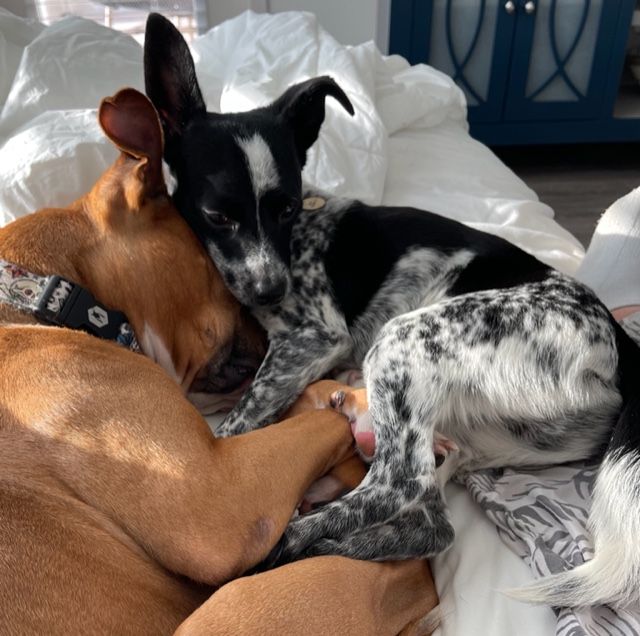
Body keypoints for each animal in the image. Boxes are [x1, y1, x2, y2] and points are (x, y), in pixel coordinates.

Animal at [0, 90, 438, 636]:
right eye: (218, 267)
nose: (278, 329)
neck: (44, 295)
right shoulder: (219, 498)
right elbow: (315, 421)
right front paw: (354, 408)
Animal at [145, 14, 640, 608]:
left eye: (286, 207)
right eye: (219, 216)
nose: (270, 291)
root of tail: (619, 341)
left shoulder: (314, 337)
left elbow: (234, 425)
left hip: (402, 343)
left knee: (395, 486)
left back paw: (286, 543)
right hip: (471, 435)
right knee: (431, 522)